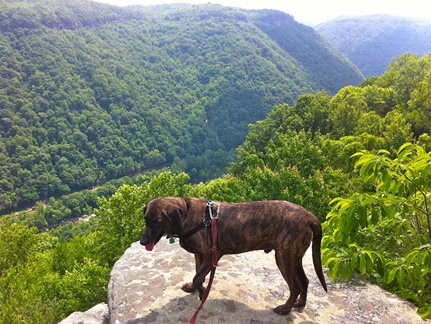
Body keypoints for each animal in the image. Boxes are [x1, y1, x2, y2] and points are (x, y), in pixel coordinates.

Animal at [141, 196, 328, 316]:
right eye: (146, 220)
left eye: (157, 221)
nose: (143, 241)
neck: (187, 216)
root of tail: (308, 215)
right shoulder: (199, 255)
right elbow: (197, 275)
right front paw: (195, 288)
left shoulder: (211, 256)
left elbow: (198, 277)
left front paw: (202, 293)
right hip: (294, 257)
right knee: (304, 281)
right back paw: (300, 304)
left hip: (284, 258)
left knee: (295, 286)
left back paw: (285, 309)